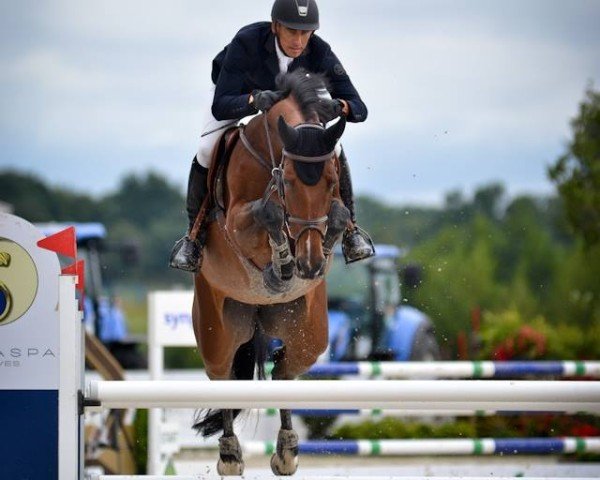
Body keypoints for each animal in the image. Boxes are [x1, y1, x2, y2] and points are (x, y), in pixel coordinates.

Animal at [192, 68, 352, 476]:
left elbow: (338, 214)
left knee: (283, 373)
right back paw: (230, 456)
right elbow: (270, 212)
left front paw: (311, 254)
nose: (309, 264)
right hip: (218, 330)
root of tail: (258, 315)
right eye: (289, 181)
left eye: (332, 180)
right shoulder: (236, 222)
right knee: (224, 377)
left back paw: (287, 450)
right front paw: (280, 262)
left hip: (308, 334)